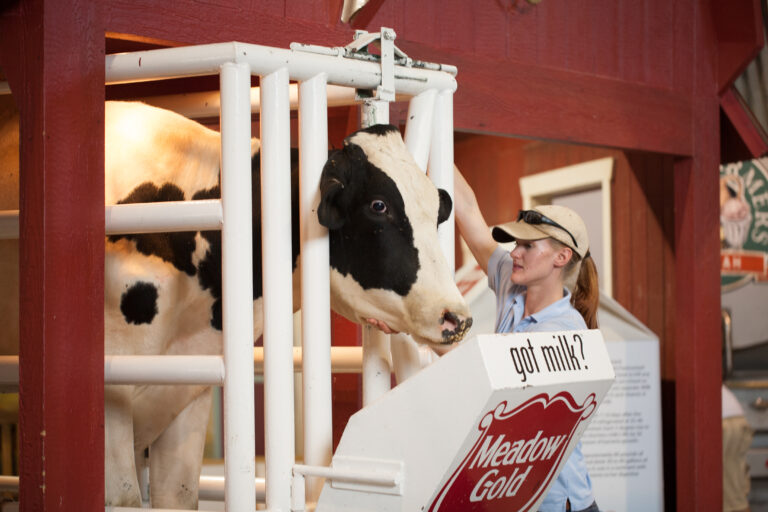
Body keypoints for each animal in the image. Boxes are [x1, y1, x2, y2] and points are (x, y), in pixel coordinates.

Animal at [0, 99, 474, 508]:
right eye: (378, 205)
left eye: (436, 209)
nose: (457, 318)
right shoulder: (109, 391)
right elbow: (125, 498)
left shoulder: (186, 394)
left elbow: (178, 496)